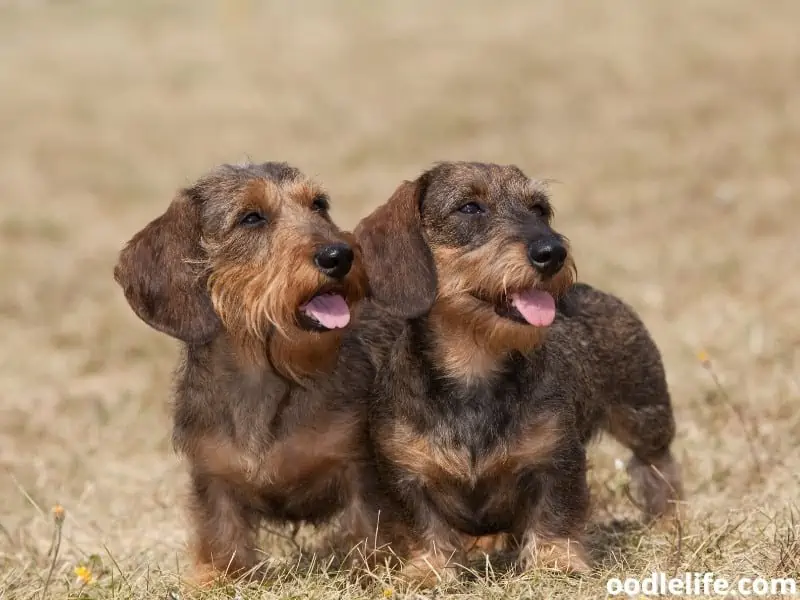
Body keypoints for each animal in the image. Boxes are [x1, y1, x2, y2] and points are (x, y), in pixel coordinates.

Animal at [112, 162, 372, 584]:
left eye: (319, 204)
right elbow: (222, 542)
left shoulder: (359, 467)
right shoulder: (213, 477)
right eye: (251, 217)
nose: (340, 255)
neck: (264, 377)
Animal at [350, 162, 680, 584]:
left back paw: (671, 523)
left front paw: (556, 563)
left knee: (659, 467)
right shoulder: (404, 474)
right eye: (470, 207)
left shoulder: (557, 460)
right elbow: (424, 527)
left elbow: (555, 515)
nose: (554, 253)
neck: (474, 367)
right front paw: (428, 571)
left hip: (645, 416)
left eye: (539, 209)